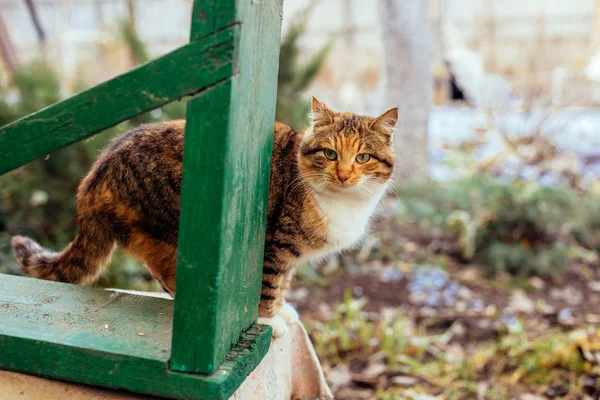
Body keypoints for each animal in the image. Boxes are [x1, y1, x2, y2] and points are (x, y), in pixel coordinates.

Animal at [11, 97, 396, 338]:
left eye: (362, 157)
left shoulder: (287, 253)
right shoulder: (274, 245)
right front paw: (268, 320)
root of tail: (92, 180)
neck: (341, 202)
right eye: (330, 154)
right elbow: (269, 284)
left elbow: (283, 283)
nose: (343, 174)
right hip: (170, 229)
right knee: (168, 274)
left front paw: (281, 310)